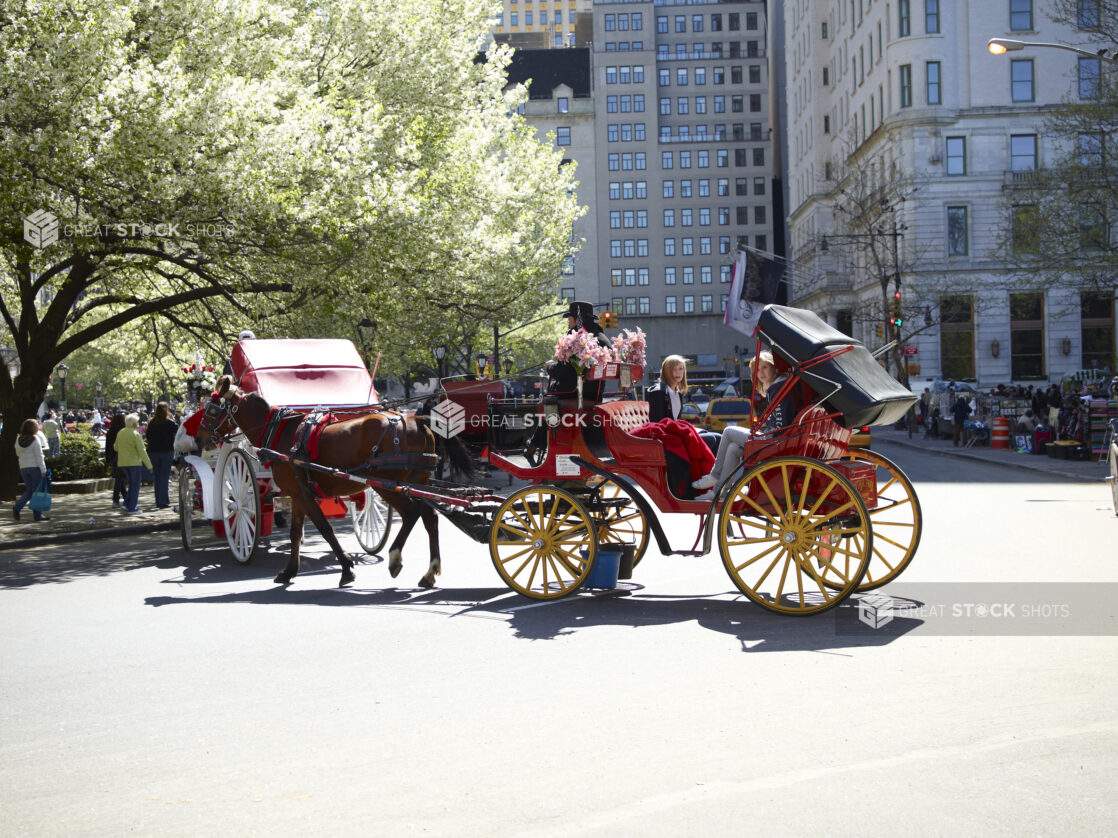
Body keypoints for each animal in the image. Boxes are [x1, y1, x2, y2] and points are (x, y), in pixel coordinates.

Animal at [199, 377, 474, 585]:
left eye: (212, 407)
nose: (200, 436)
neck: (279, 432)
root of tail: (415, 418)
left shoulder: (302, 494)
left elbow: (325, 529)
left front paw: (346, 568)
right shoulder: (297, 493)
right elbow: (296, 533)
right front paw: (289, 571)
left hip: (387, 485)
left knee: (410, 514)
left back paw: (395, 559)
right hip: (418, 481)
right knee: (430, 518)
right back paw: (430, 572)